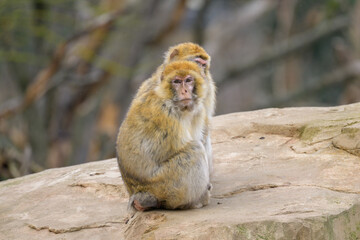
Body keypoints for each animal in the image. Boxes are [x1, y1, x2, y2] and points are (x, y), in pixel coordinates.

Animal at [115, 60, 211, 212]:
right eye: (176, 81)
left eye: (188, 80)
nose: (184, 91)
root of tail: (136, 193)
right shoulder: (166, 116)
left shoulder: (198, 112)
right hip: (163, 185)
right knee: (194, 150)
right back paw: (193, 202)